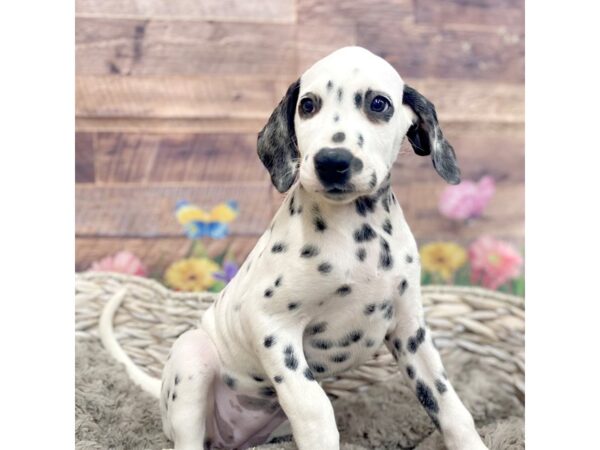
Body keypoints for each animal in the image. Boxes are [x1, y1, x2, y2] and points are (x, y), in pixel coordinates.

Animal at [104, 46, 488, 450]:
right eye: (308, 105)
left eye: (379, 103)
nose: (332, 162)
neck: (356, 235)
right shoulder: (273, 326)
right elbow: (314, 408)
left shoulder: (410, 331)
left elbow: (449, 405)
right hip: (193, 358)